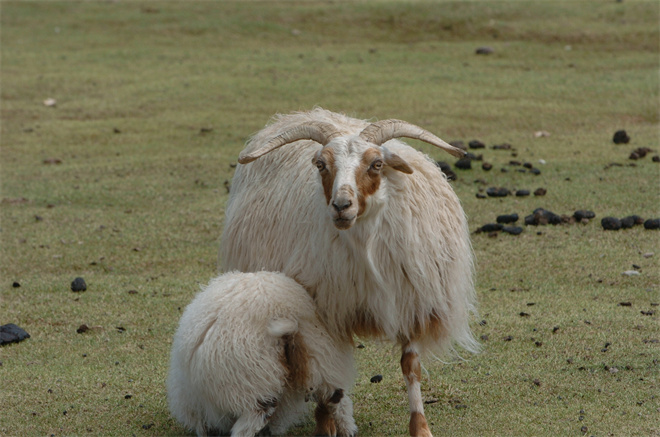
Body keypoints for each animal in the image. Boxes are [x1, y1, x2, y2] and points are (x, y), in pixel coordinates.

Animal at [168, 270, 358, 434]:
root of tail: (280, 312)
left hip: (256, 382)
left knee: (251, 422)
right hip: (319, 357)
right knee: (336, 399)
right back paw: (347, 431)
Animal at [222, 108, 480, 436]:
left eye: (377, 164)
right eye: (321, 164)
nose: (341, 205)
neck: (366, 240)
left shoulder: (410, 301)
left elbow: (411, 367)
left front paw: (420, 427)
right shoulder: (327, 308)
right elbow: (326, 369)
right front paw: (326, 425)